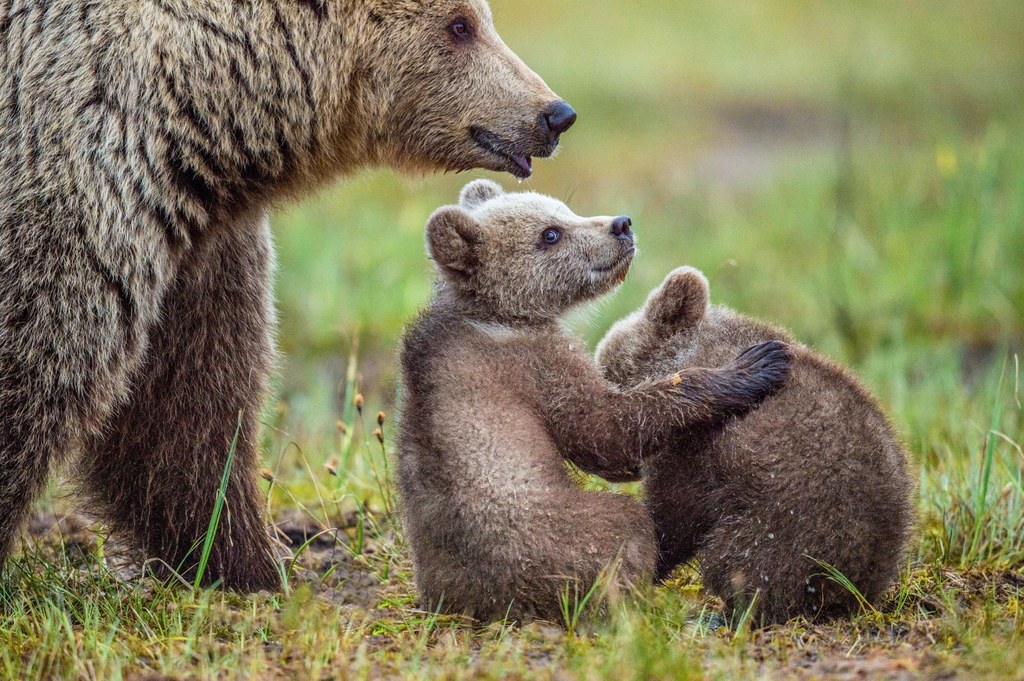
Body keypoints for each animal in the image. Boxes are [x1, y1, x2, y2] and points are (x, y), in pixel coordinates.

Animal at [0, 0, 577, 589]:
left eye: (480, 19)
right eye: (460, 26)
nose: (555, 114)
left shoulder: (200, 249)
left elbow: (193, 398)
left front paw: (243, 560)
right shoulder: (78, 181)